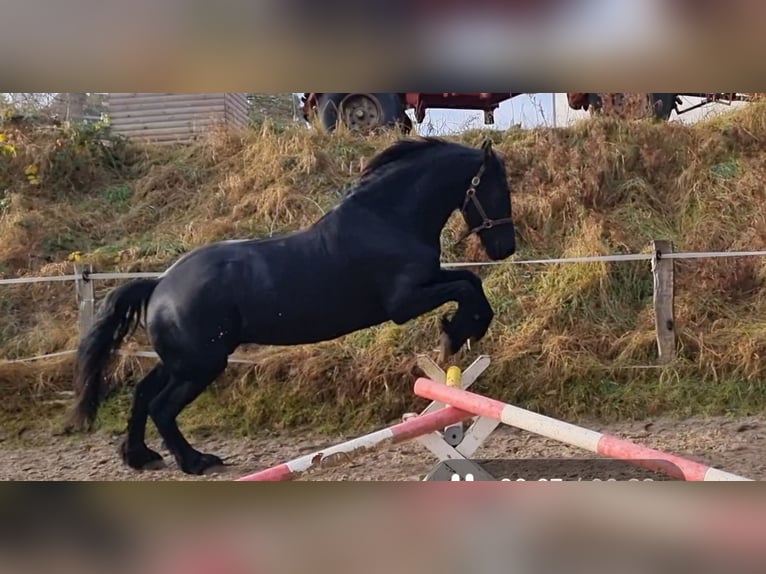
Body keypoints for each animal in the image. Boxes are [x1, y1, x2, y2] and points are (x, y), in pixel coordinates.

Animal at [65, 136, 517, 475]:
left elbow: (470, 280)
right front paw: (457, 332)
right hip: (200, 364)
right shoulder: (404, 302)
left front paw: (463, 329)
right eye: (498, 189)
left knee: (143, 394)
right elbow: (465, 288)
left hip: (182, 361)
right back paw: (196, 462)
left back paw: (141, 457)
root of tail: (160, 285)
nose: (506, 248)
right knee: (161, 406)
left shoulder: (427, 281)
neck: (387, 219)